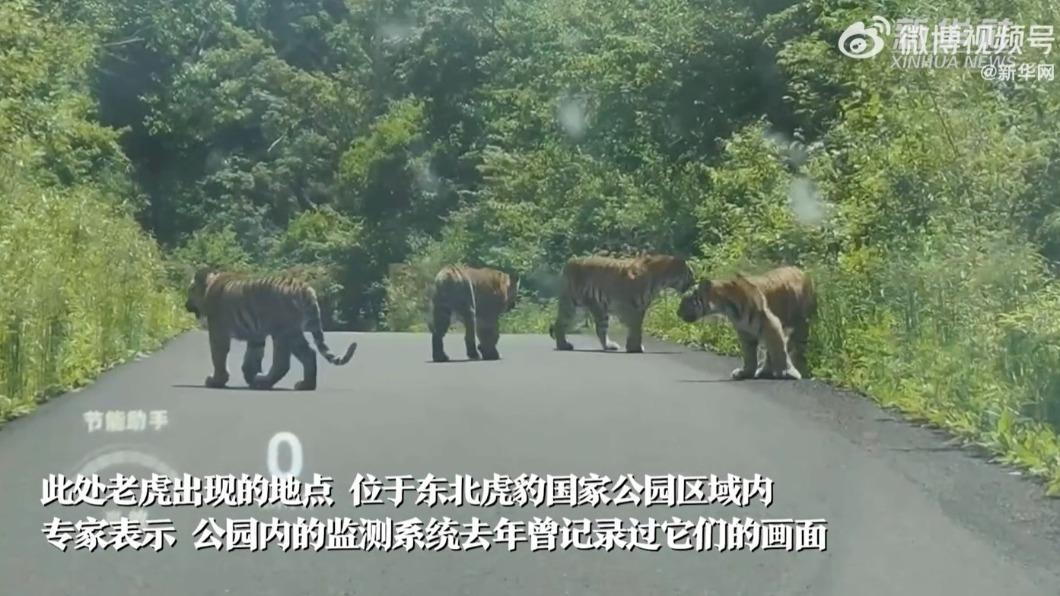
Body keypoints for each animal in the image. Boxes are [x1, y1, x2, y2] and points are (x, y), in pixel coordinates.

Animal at [184, 268, 358, 390]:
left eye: (189, 290)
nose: (185, 305)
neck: (210, 284)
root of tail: (305, 287)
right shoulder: (256, 336)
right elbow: (252, 358)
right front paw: (249, 376)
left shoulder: (218, 332)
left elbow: (218, 357)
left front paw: (217, 380)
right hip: (290, 332)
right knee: (309, 354)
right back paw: (305, 384)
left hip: (284, 332)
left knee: (286, 362)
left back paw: (265, 382)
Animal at [549, 254, 694, 353]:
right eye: (690, 273)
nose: (694, 281)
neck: (662, 279)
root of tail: (569, 262)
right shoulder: (635, 308)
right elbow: (636, 328)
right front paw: (636, 347)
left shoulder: (635, 308)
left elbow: (634, 328)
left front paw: (632, 346)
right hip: (577, 307)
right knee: (563, 325)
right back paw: (565, 345)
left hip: (584, 310)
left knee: (566, 324)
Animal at [676, 266, 816, 380]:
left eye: (686, 300)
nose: (677, 313)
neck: (725, 306)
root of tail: (801, 270)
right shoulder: (745, 332)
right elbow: (749, 355)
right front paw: (746, 372)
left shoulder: (771, 325)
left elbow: (778, 350)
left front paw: (784, 372)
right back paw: (764, 371)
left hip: (802, 326)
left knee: (798, 349)